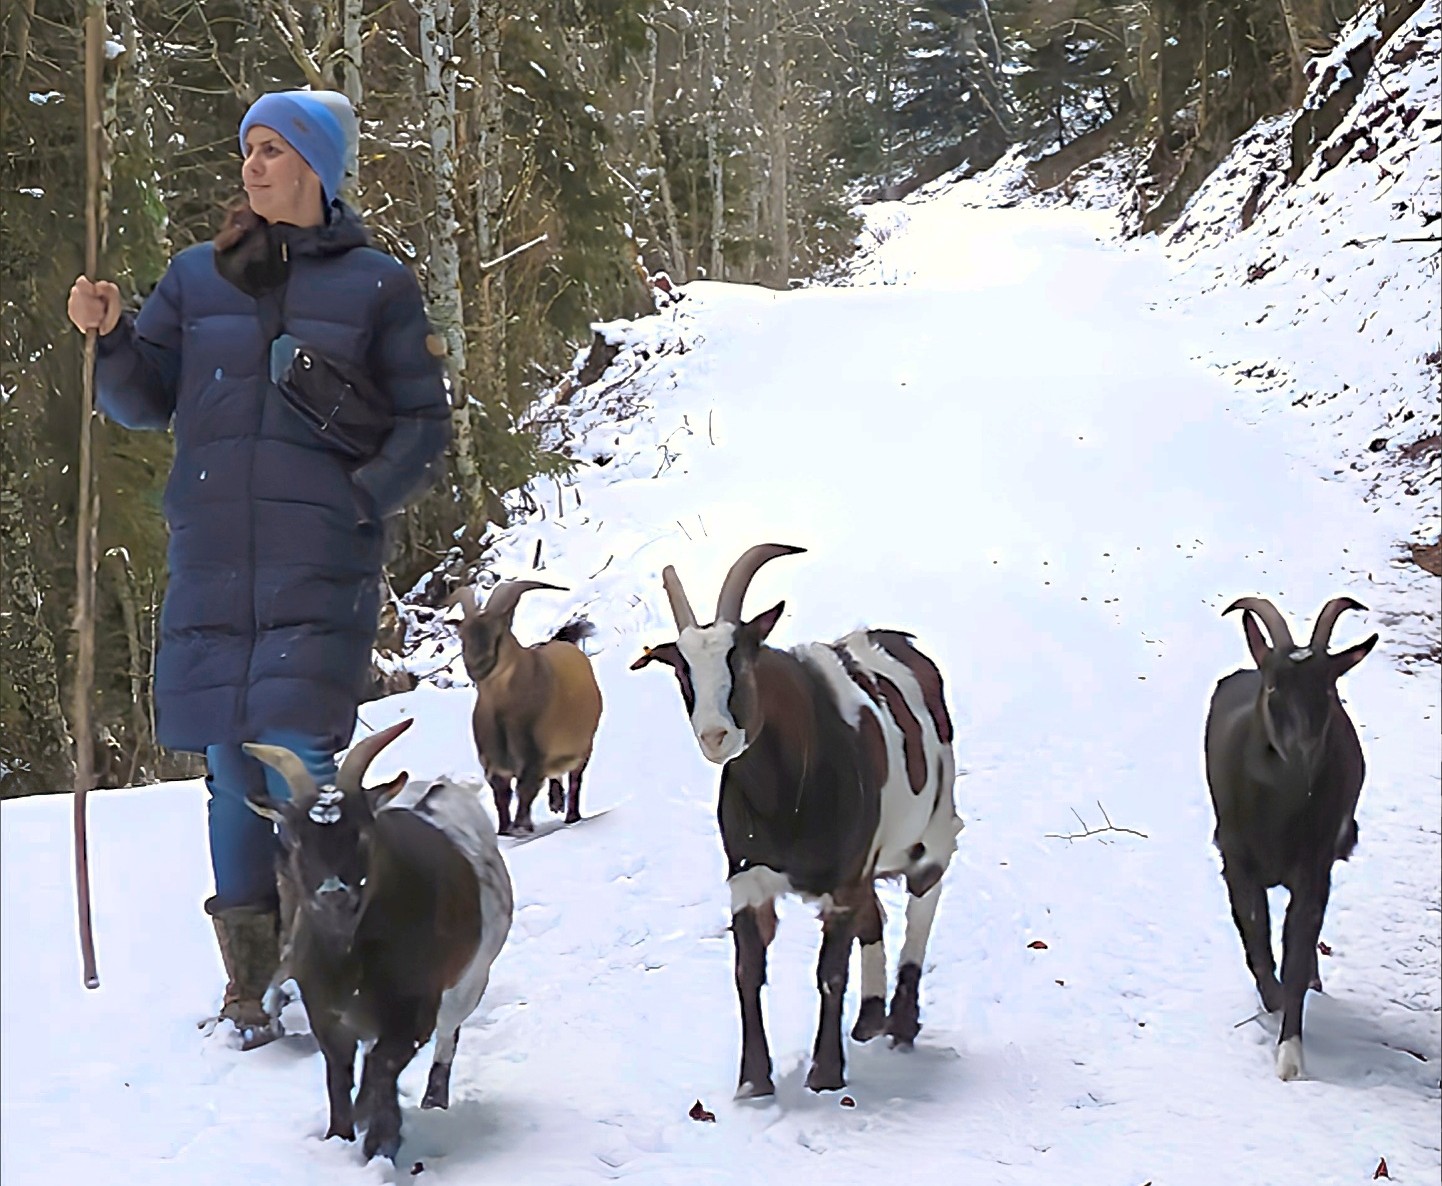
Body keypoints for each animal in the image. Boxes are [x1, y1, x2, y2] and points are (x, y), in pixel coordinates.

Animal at [244, 719, 514, 1161]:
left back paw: (433, 1102)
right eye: (295, 839)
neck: (348, 958)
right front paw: (343, 1134)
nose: (333, 893)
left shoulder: (414, 1010)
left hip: (471, 979)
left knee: (447, 1036)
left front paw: (380, 1141)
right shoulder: (327, 1014)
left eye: (362, 834)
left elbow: (384, 1064)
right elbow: (339, 1076)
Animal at [457, 581, 604, 834]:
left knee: (575, 778)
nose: (478, 666)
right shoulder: (493, 763)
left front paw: (521, 826)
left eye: (499, 633)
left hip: (583, 745)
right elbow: (501, 796)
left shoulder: (535, 755)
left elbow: (525, 789)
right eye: (463, 635)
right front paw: (504, 830)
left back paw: (571, 816)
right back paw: (556, 802)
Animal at [632, 543, 962, 1095]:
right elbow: (747, 970)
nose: (715, 736)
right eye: (683, 671)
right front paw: (753, 1081)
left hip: (932, 832)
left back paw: (900, 1022)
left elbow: (830, 972)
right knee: (876, 916)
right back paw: (869, 1019)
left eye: (741, 656)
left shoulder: (843, 879)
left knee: (923, 903)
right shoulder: (748, 877)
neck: (787, 796)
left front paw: (825, 1074)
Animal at [1204, 596, 1377, 1081]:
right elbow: (1255, 934)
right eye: (1274, 688)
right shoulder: (1236, 857)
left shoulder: (1313, 865)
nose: (1302, 752)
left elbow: (1298, 947)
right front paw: (1273, 1000)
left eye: (1328, 689)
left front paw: (1290, 1055)